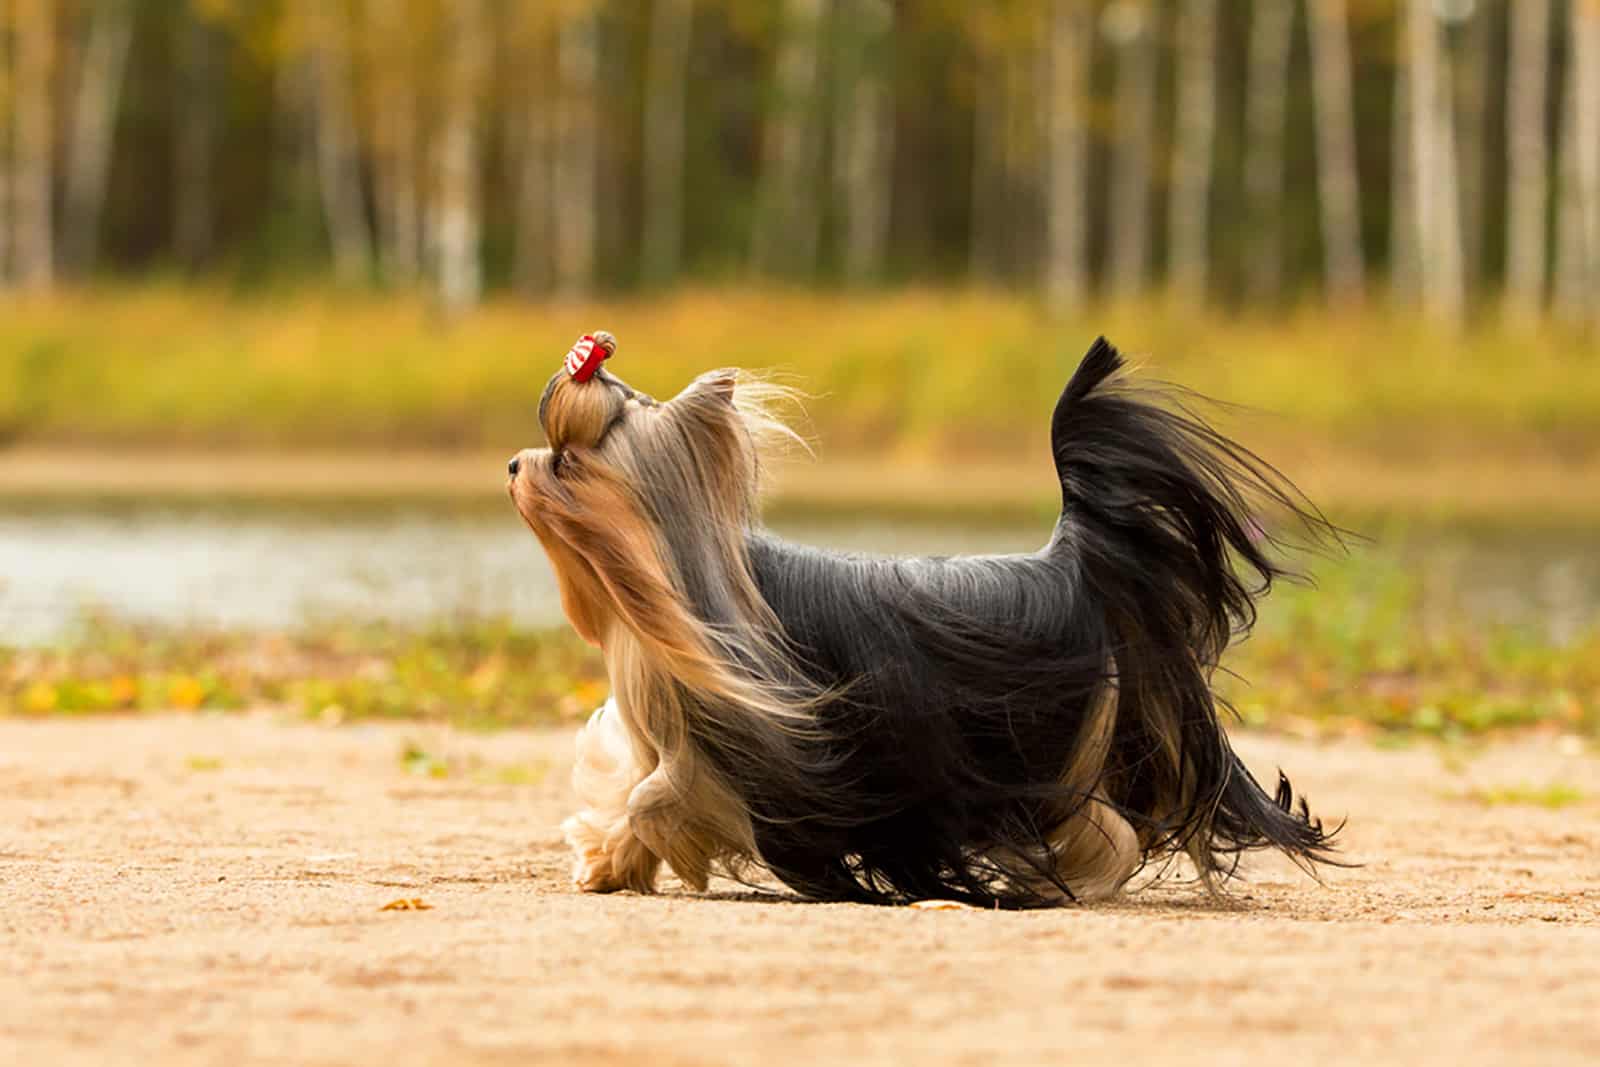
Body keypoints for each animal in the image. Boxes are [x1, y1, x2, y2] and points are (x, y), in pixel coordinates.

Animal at [508, 329, 1337, 908]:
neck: (661, 582)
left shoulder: (739, 745)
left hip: (1038, 751)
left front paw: (612, 855)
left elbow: (655, 796)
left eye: (568, 463)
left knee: (1104, 826)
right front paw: (608, 861)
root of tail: (1067, 561)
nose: (514, 466)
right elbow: (634, 786)